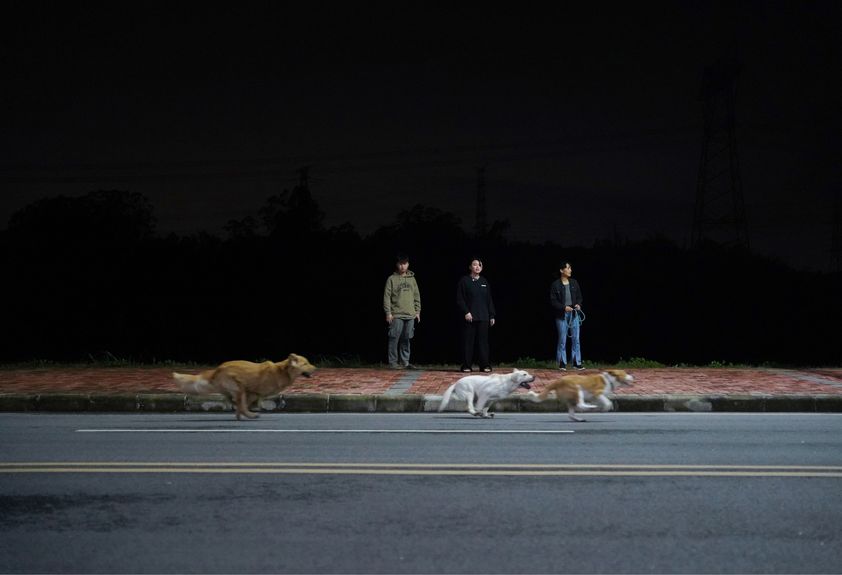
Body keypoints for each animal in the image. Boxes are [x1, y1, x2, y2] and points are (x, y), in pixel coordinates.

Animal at [172, 354, 316, 420]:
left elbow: (245, 404)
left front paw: (240, 414)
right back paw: (248, 415)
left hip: (235, 389)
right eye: (306, 363)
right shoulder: (252, 392)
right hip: (238, 388)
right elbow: (244, 405)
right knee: (235, 400)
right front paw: (247, 413)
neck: (282, 371)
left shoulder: (254, 394)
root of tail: (217, 369)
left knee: (229, 399)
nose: (315, 368)